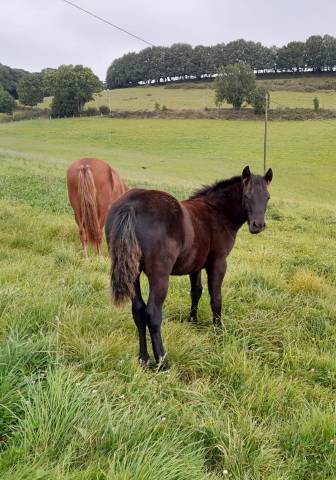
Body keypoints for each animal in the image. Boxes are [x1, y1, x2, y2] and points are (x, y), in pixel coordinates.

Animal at [105, 166, 272, 372]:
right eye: (247, 196)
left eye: (267, 197)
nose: (258, 225)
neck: (216, 213)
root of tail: (132, 205)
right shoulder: (218, 263)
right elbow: (216, 298)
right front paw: (218, 330)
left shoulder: (196, 265)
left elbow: (196, 292)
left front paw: (193, 321)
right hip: (159, 275)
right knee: (152, 313)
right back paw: (163, 363)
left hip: (133, 273)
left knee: (138, 310)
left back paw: (143, 359)